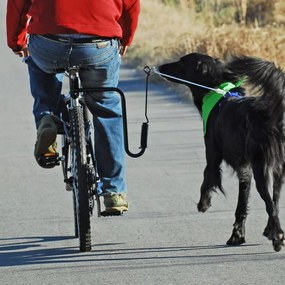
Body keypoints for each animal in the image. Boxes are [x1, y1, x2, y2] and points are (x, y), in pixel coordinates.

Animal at [159, 52, 284, 250]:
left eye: (181, 62)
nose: (161, 67)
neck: (218, 91)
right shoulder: (245, 169)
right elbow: (241, 206)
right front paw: (237, 236)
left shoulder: (213, 156)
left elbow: (207, 176)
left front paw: (204, 203)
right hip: (278, 170)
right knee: (276, 201)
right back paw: (271, 230)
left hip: (261, 168)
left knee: (271, 204)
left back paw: (277, 236)